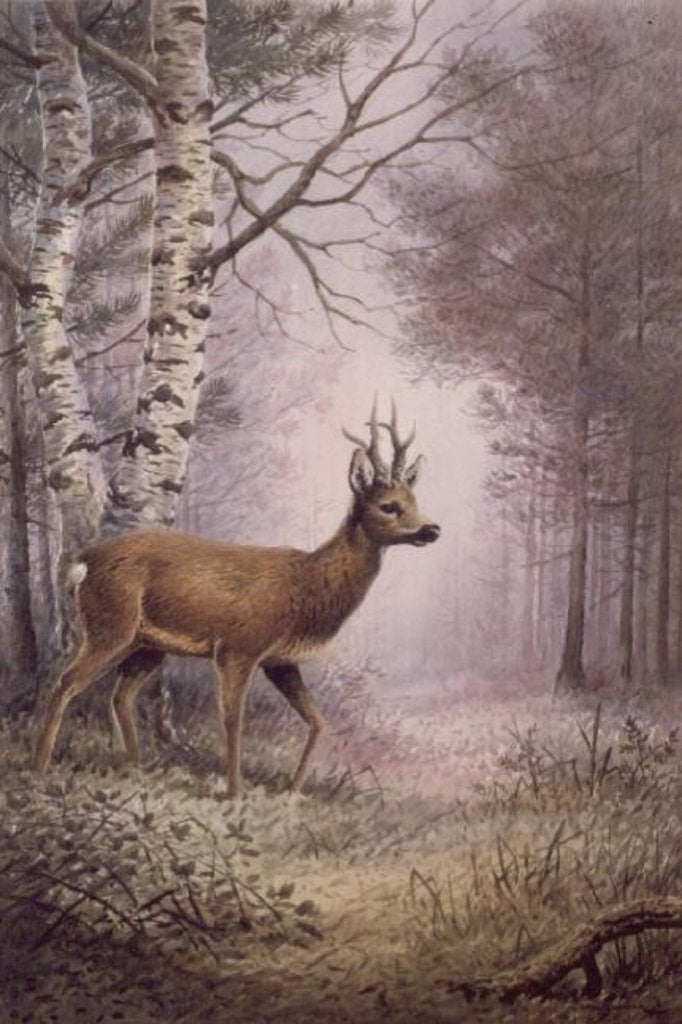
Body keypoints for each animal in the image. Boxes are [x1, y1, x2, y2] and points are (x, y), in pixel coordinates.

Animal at [33, 400, 440, 797]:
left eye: (415, 500)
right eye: (389, 505)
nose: (432, 529)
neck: (307, 587)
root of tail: (84, 561)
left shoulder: (279, 660)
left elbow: (318, 721)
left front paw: (291, 790)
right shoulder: (238, 647)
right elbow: (232, 719)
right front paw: (235, 792)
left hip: (146, 643)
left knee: (119, 695)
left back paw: (135, 766)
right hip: (110, 624)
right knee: (65, 683)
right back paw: (41, 765)